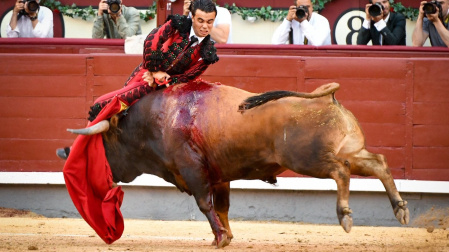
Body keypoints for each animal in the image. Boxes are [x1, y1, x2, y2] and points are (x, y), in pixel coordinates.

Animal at [70, 80, 410, 248]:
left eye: (105, 143)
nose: (108, 174)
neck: (155, 120)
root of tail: (325, 98)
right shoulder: (219, 176)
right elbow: (222, 206)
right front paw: (225, 236)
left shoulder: (193, 171)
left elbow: (205, 204)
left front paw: (220, 238)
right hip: (349, 150)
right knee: (378, 163)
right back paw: (400, 209)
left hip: (307, 160)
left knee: (341, 171)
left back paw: (346, 217)